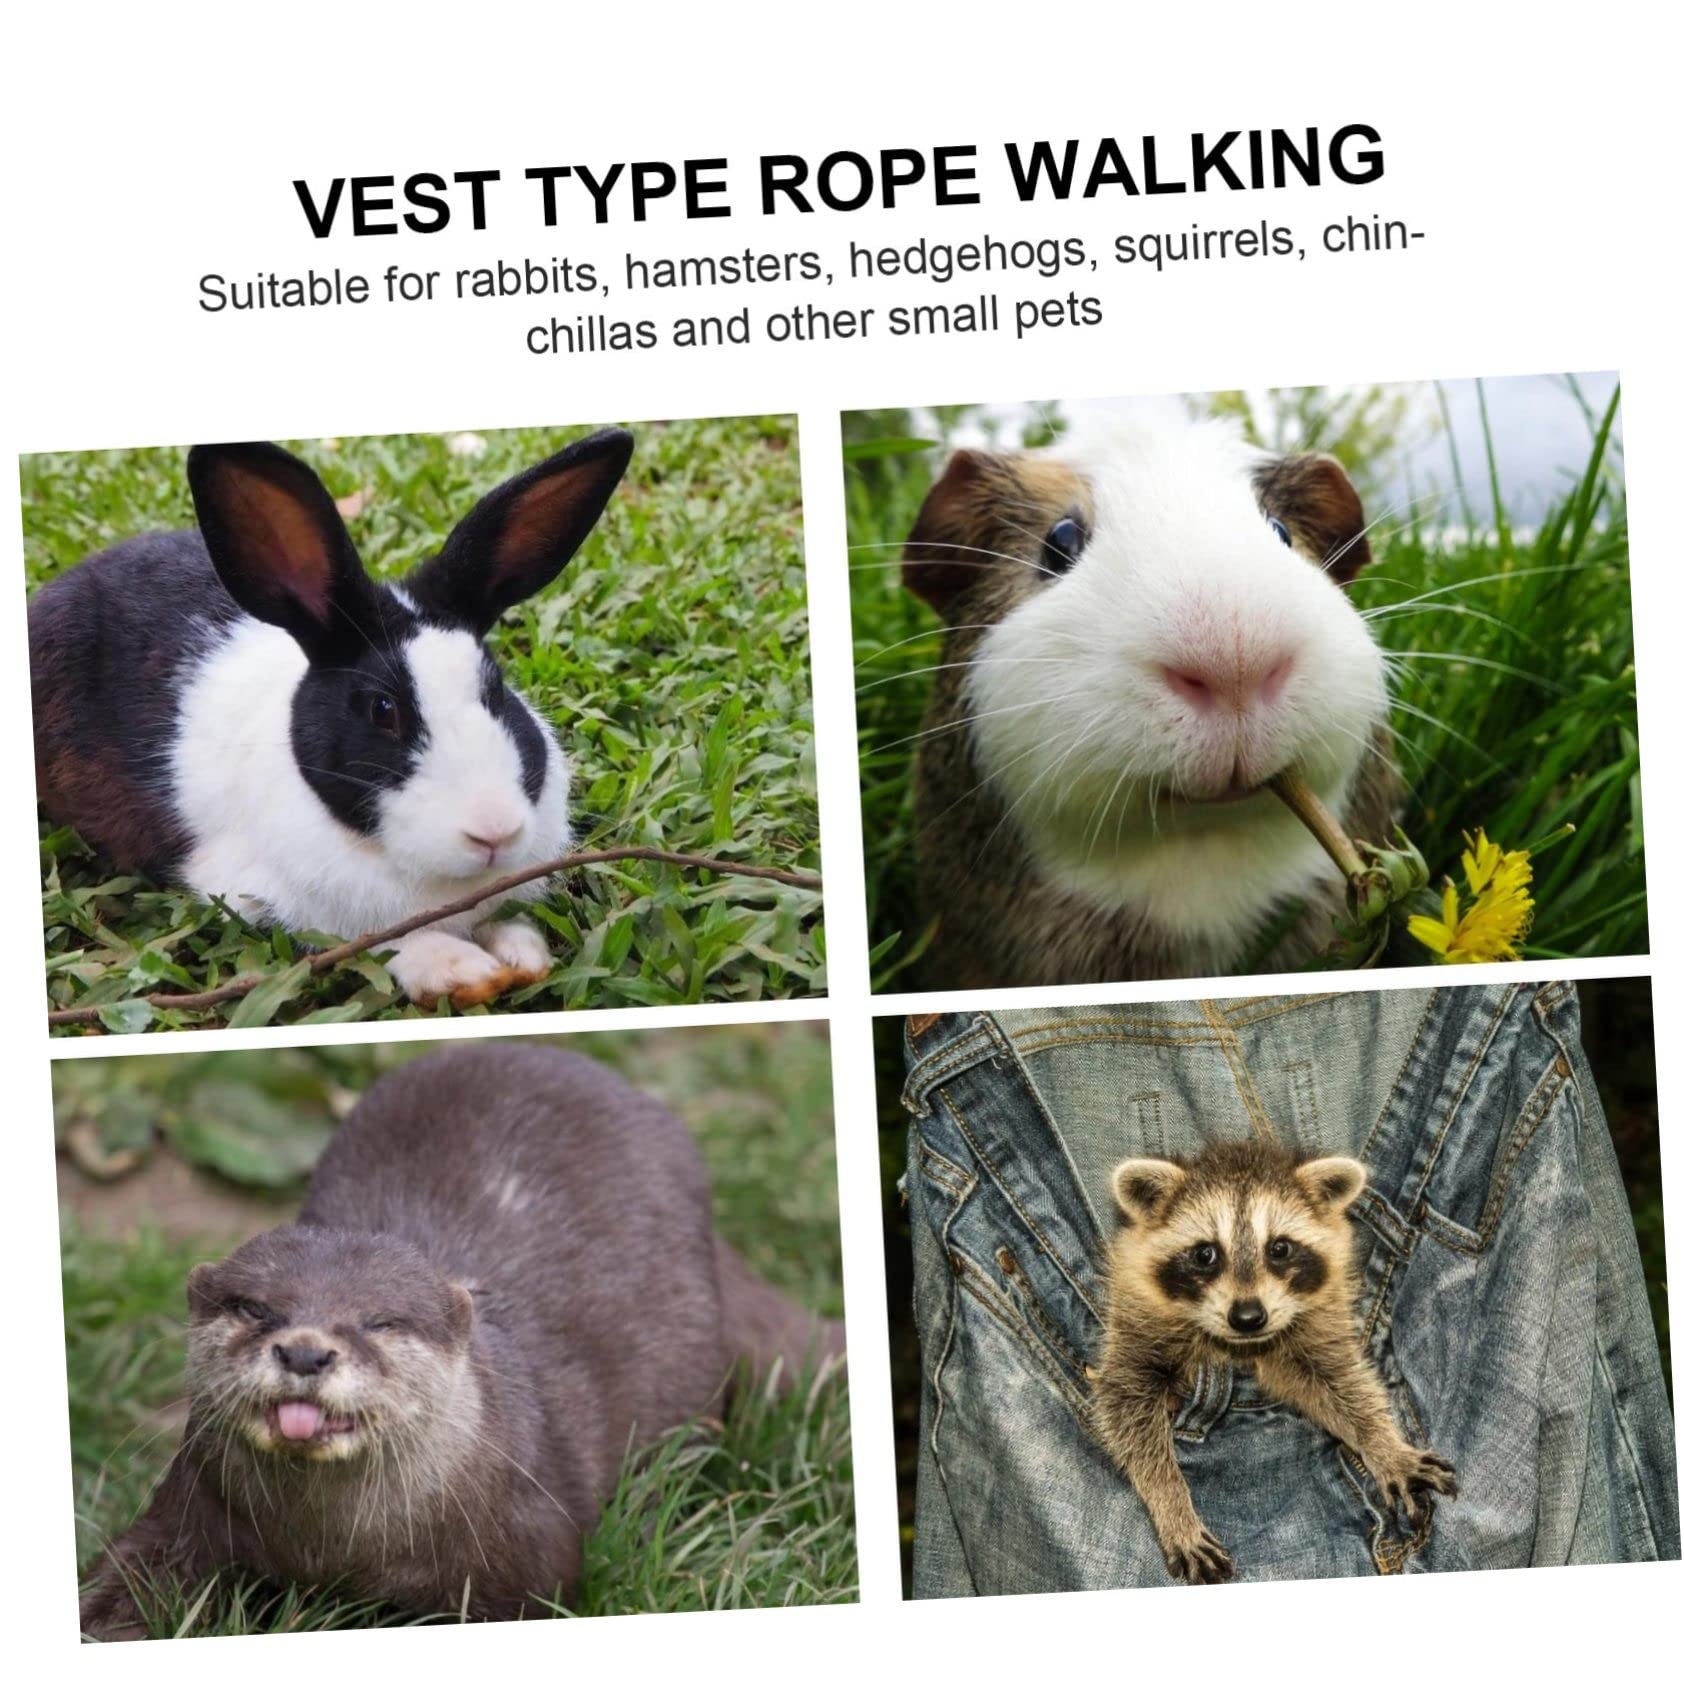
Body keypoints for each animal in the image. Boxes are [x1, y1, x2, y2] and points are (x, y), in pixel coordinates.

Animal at [30, 428, 633, 1007]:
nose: (495, 832)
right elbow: (381, 939)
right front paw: (458, 971)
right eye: (382, 710)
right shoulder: (259, 892)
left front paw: (520, 955)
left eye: (495, 687)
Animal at [76, 1042, 844, 1638]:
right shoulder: (188, 1508)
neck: (334, 1552)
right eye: (255, 1308)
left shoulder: (524, 1557)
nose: (305, 1350)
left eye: (379, 1320)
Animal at [1092, 1140, 1456, 1584]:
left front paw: (1382, 1443)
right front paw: (1171, 1502)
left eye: (1280, 1248)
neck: (1238, 1344)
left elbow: (1340, 1382)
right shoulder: (1138, 1316)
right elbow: (1126, 1408)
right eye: (1205, 1254)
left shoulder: (1316, 1319)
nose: (1248, 1317)